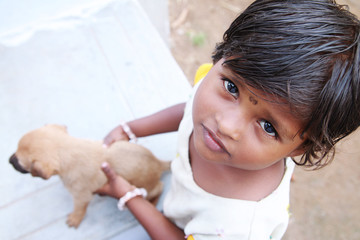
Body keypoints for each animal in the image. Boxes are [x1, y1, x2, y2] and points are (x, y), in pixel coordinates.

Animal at [9, 124, 170, 228]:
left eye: (18, 162)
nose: (9, 160)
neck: (70, 149)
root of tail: (158, 162)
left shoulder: (80, 196)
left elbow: (79, 208)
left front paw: (75, 218)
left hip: (145, 186)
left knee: (159, 187)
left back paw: (153, 202)